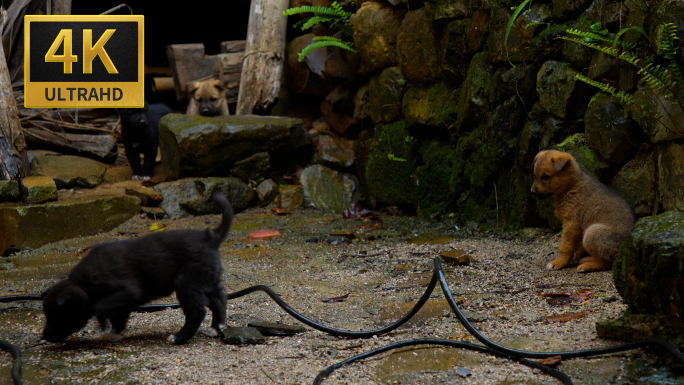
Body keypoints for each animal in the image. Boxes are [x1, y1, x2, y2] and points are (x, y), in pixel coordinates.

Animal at [41, 190, 232, 344]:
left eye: (56, 314)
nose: (44, 336)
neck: (84, 285)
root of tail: (211, 238)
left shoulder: (128, 291)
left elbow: (101, 308)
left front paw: (102, 325)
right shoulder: (122, 302)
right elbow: (117, 317)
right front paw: (113, 334)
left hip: (187, 283)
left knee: (197, 311)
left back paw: (179, 338)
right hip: (207, 279)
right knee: (219, 299)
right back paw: (216, 327)